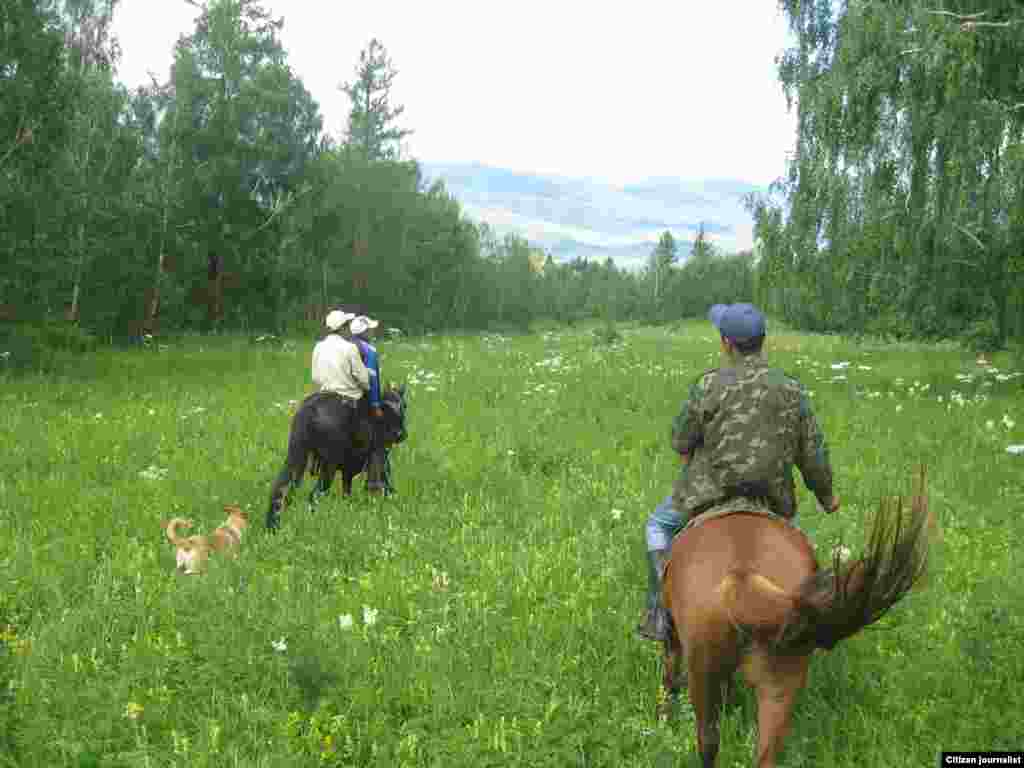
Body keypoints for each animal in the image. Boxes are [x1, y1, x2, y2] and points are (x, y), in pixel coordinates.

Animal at [266, 387, 405, 532]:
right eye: (385, 408)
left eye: (404, 406)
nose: (401, 434)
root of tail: (309, 409)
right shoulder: (377, 455)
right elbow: (379, 485)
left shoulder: (349, 469)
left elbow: (347, 492)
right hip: (328, 465)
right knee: (315, 494)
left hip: (297, 453)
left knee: (282, 490)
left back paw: (273, 526)